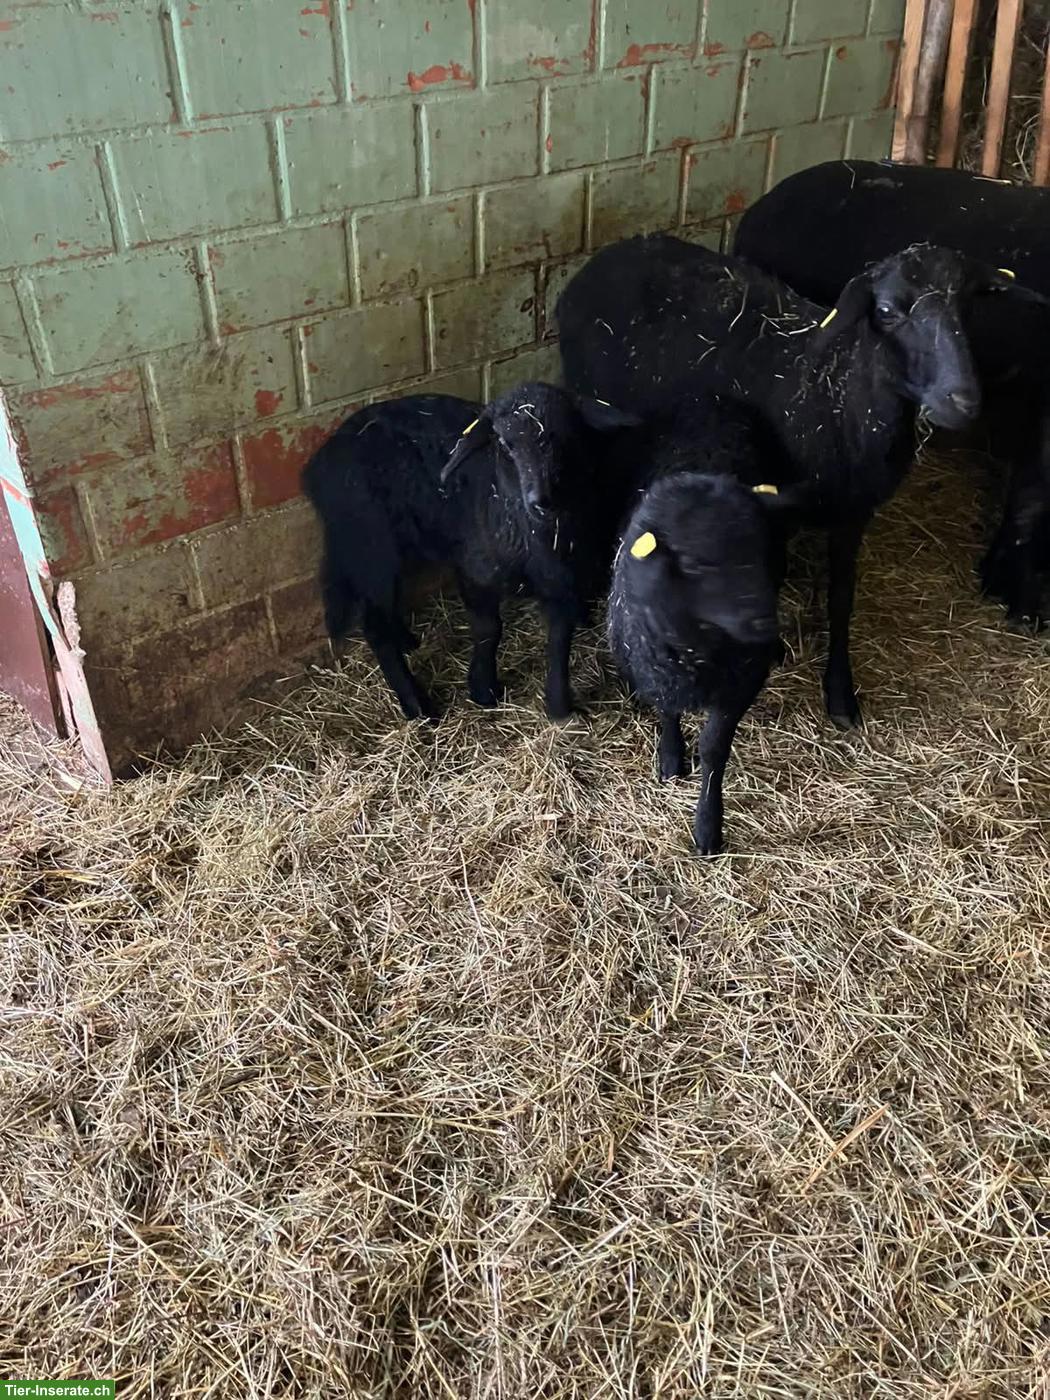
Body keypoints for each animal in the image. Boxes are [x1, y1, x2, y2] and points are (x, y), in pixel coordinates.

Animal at [301, 382, 637, 723]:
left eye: (565, 437)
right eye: (505, 444)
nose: (541, 501)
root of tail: (320, 462)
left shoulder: (563, 576)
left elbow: (560, 638)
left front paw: (558, 706)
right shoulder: (476, 571)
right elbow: (489, 629)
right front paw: (483, 688)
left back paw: (406, 641)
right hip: (370, 545)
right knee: (374, 623)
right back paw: (415, 703)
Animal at [557, 234, 1006, 728]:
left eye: (968, 307)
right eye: (888, 310)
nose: (963, 401)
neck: (838, 394)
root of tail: (612, 252)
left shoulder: (853, 511)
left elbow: (840, 599)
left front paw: (840, 692)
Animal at [608, 470, 798, 855]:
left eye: (760, 549)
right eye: (694, 564)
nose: (764, 623)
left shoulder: (740, 684)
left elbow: (713, 749)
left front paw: (708, 827)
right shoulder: (657, 671)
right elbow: (667, 713)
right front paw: (670, 758)